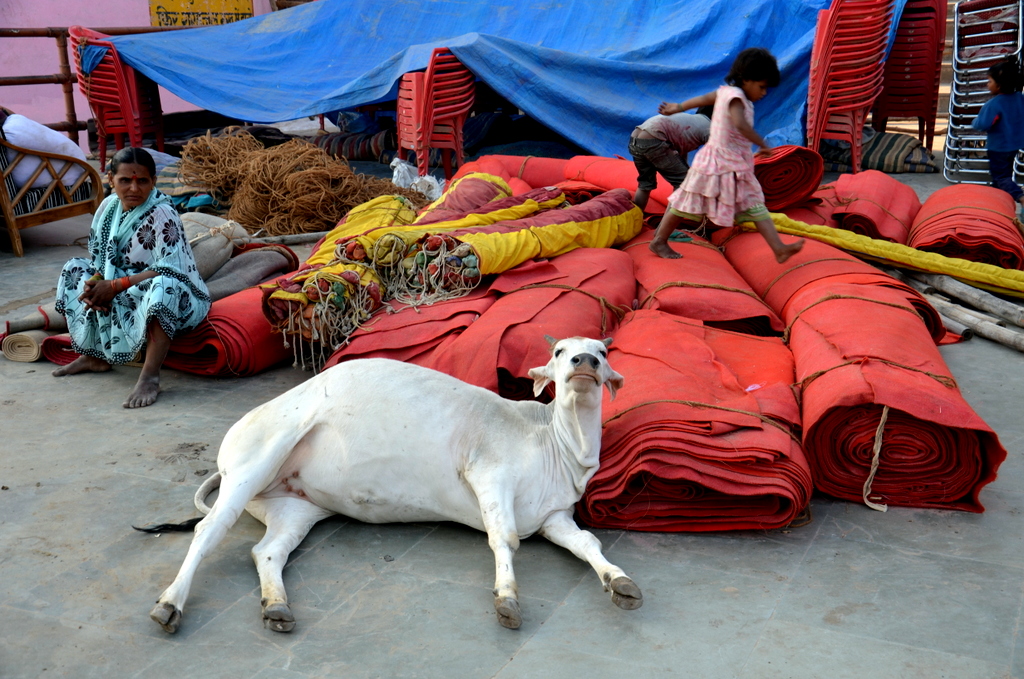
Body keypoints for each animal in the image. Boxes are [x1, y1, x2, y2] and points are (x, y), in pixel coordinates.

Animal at [148, 337, 643, 634]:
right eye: (560, 350)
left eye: (601, 351)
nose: (585, 362)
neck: (554, 442)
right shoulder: (488, 472)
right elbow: (504, 539)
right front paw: (507, 598)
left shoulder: (555, 518)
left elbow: (588, 544)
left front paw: (619, 581)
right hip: (254, 460)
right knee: (208, 530)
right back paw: (170, 603)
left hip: (294, 506)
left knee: (267, 551)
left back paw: (276, 606)